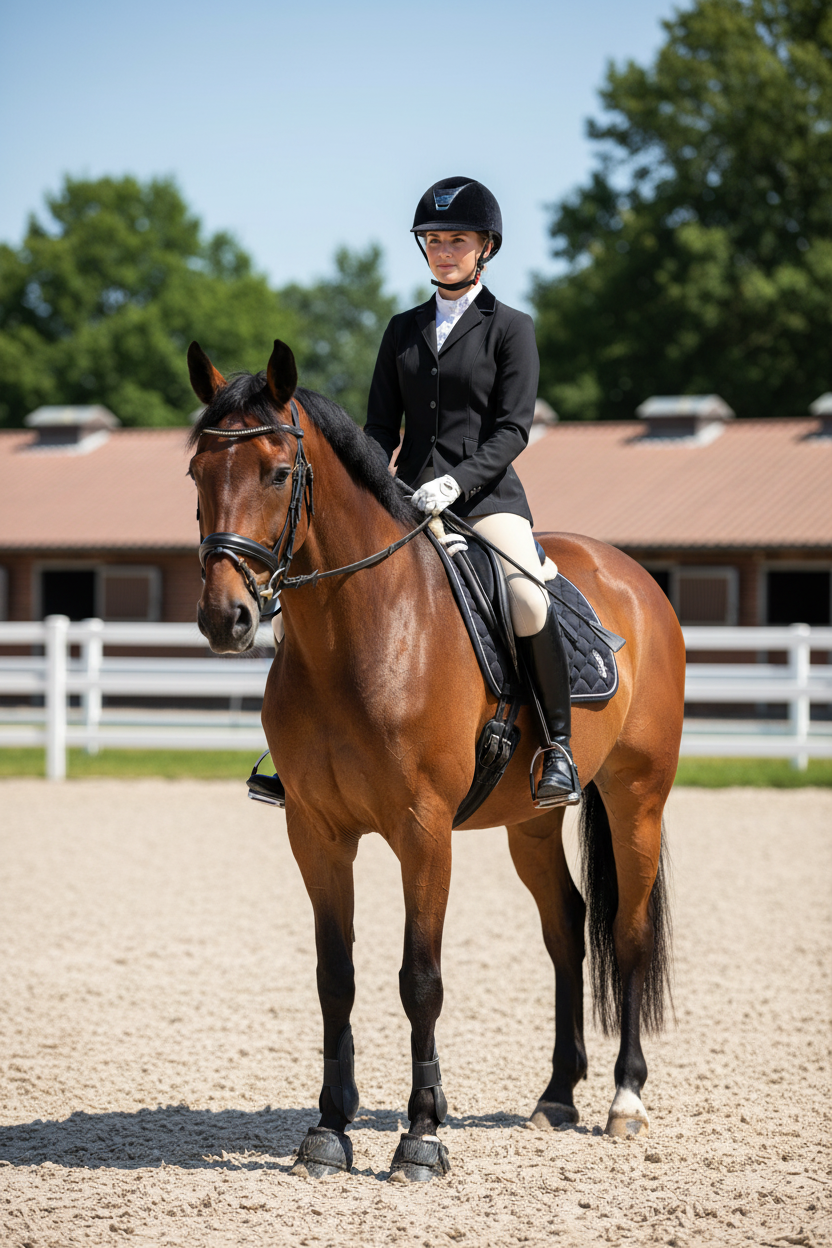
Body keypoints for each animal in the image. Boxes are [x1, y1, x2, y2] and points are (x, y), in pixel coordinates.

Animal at [186, 339, 685, 1182]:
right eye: (196, 472)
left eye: (278, 473)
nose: (228, 619)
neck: (357, 634)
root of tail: (633, 575)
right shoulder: (317, 834)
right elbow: (335, 978)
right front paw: (328, 1131)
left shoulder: (423, 833)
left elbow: (420, 980)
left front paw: (421, 1135)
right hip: (530, 822)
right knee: (567, 927)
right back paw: (557, 1096)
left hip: (637, 798)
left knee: (627, 935)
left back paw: (625, 1101)